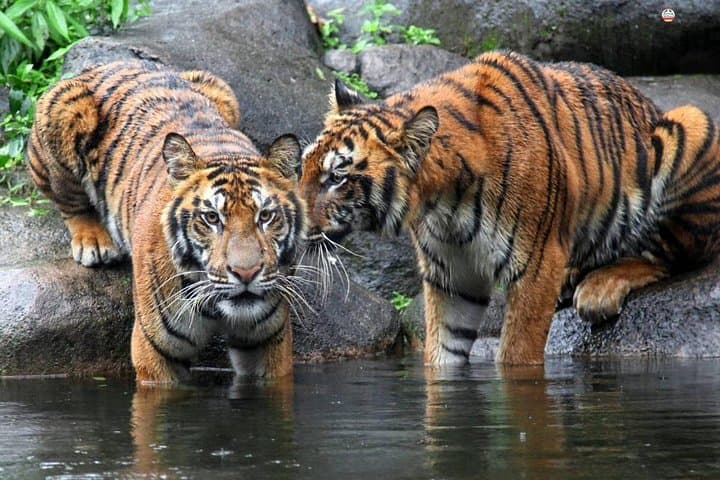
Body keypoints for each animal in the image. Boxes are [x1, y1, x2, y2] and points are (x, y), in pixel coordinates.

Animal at [27, 61, 306, 383]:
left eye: (266, 216)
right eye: (212, 218)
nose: (245, 273)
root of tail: (106, 64)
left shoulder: (268, 341)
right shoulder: (156, 350)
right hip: (61, 110)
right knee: (69, 200)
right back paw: (93, 242)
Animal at [298, 51, 720, 366]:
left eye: (336, 177)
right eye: (304, 167)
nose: (293, 227)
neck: (443, 203)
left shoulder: (536, 265)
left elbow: (517, 354)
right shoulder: (451, 276)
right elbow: (442, 353)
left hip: (692, 122)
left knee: (671, 256)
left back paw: (599, 289)